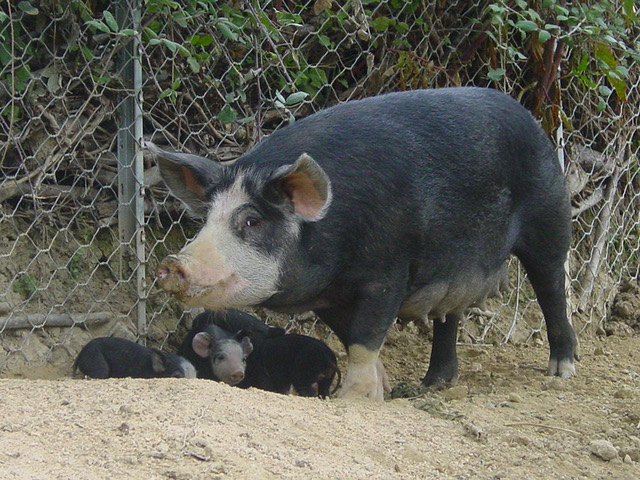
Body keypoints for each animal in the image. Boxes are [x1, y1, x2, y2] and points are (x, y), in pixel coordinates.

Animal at [151, 87, 580, 402]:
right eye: (207, 219)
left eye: (251, 220)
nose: (172, 264)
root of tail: (532, 119)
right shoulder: (329, 295)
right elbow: (353, 339)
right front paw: (382, 393)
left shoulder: (388, 272)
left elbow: (365, 337)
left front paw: (352, 402)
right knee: (449, 316)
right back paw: (433, 384)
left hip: (550, 216)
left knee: (552, 288)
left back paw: (562, 370)